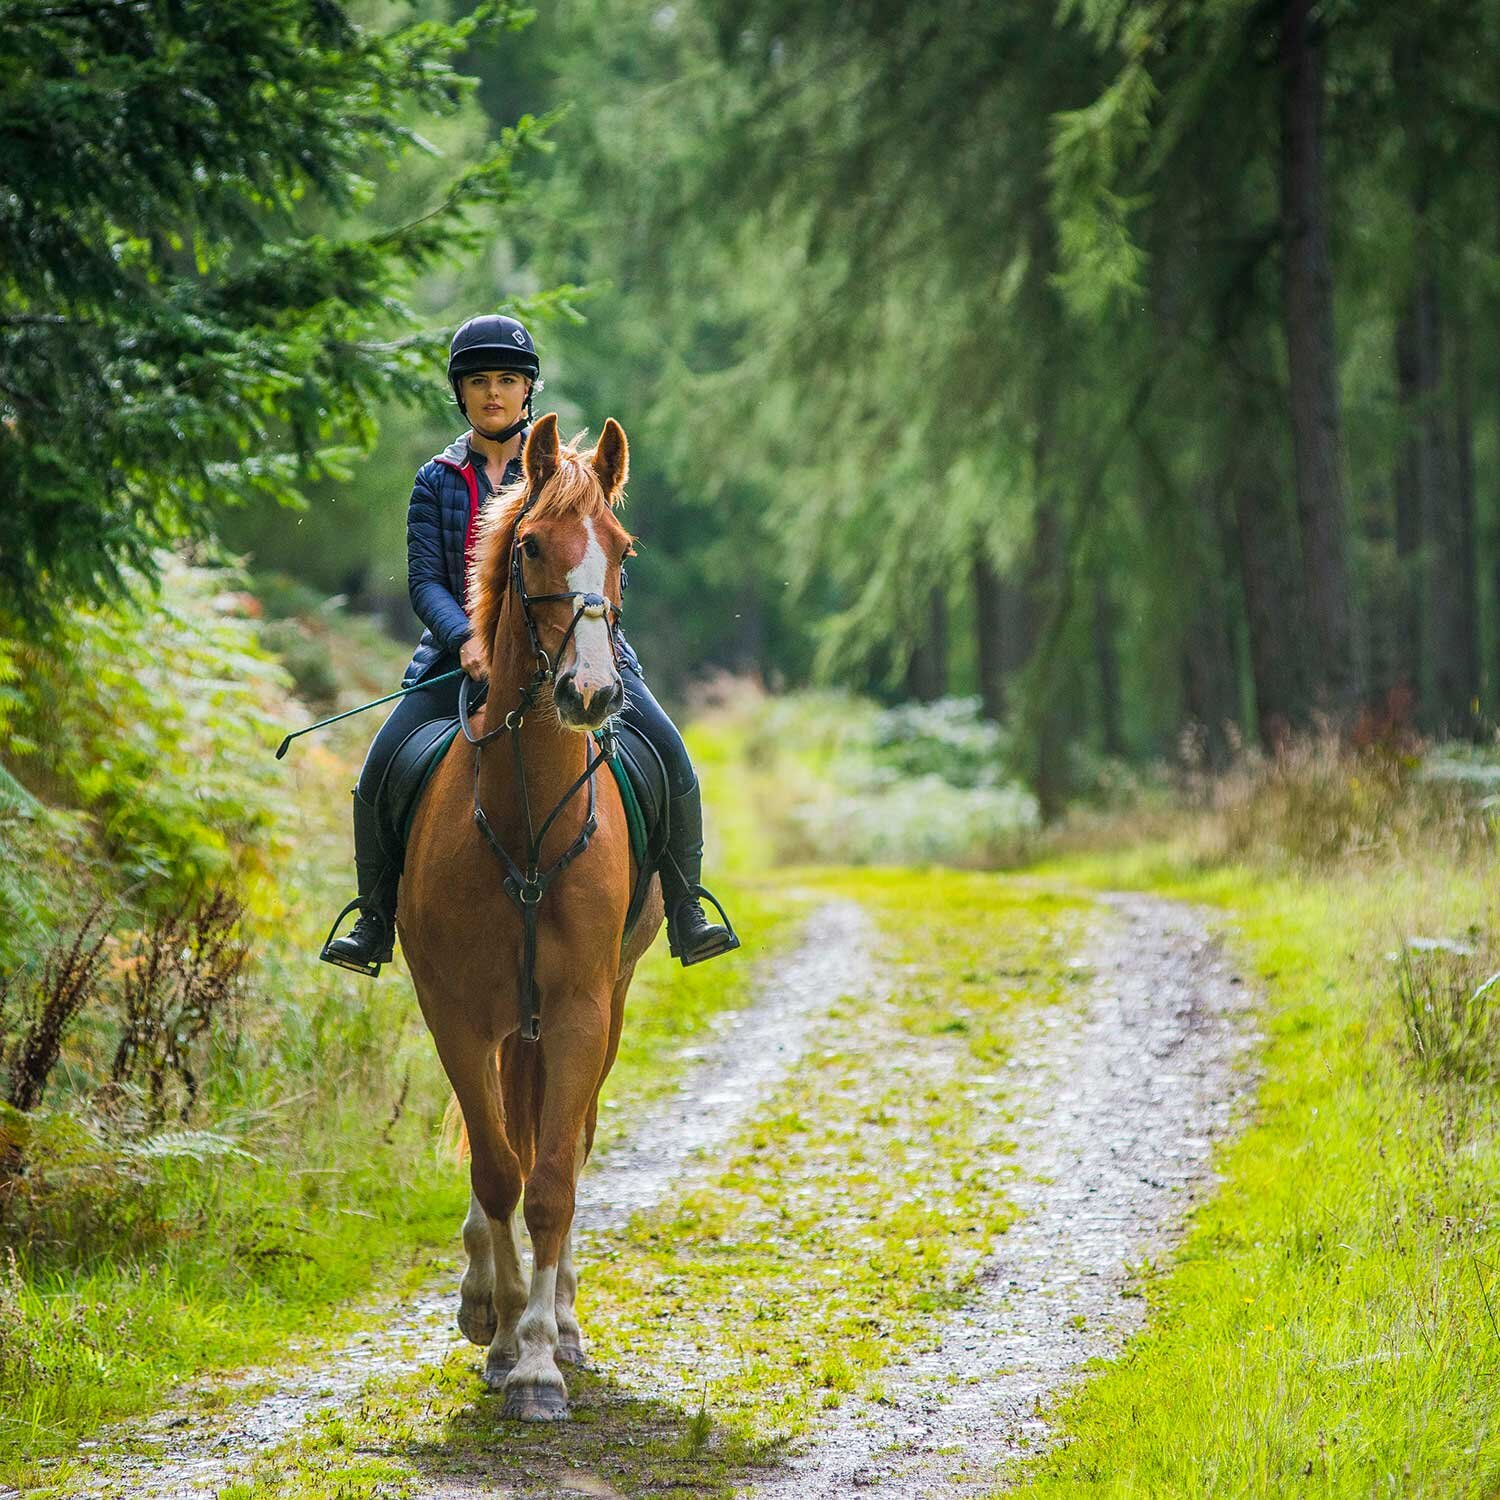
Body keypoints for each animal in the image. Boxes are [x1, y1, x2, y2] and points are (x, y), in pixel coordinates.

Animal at [399, 417, 663, 1422]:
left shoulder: (583, 1009)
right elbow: (496, 1168)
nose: (589, 695)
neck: (522, 819)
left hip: (598, 1009)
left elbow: (551, 1179)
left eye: (622, 550)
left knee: (568, 1146)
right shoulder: (456, 1013)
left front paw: (545, 1361)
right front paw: (505, 1329)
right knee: (502, 1147)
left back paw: (567, 1324)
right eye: (532, 547)